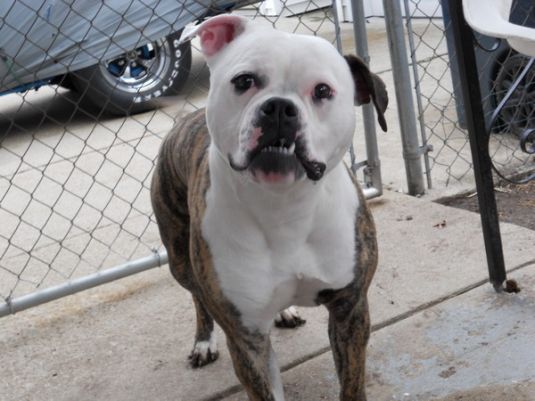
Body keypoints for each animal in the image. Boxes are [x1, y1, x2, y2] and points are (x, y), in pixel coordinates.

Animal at [151, 14, 390, 400]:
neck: (283, 206)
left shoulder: (350, 310)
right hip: (179, 258)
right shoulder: (246, 338)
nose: (279, 107)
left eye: (322, 91)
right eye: (244, 81)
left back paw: (285, 311)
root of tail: (185, 119)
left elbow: (352, 382)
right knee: (198, 298)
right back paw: (204, 341)